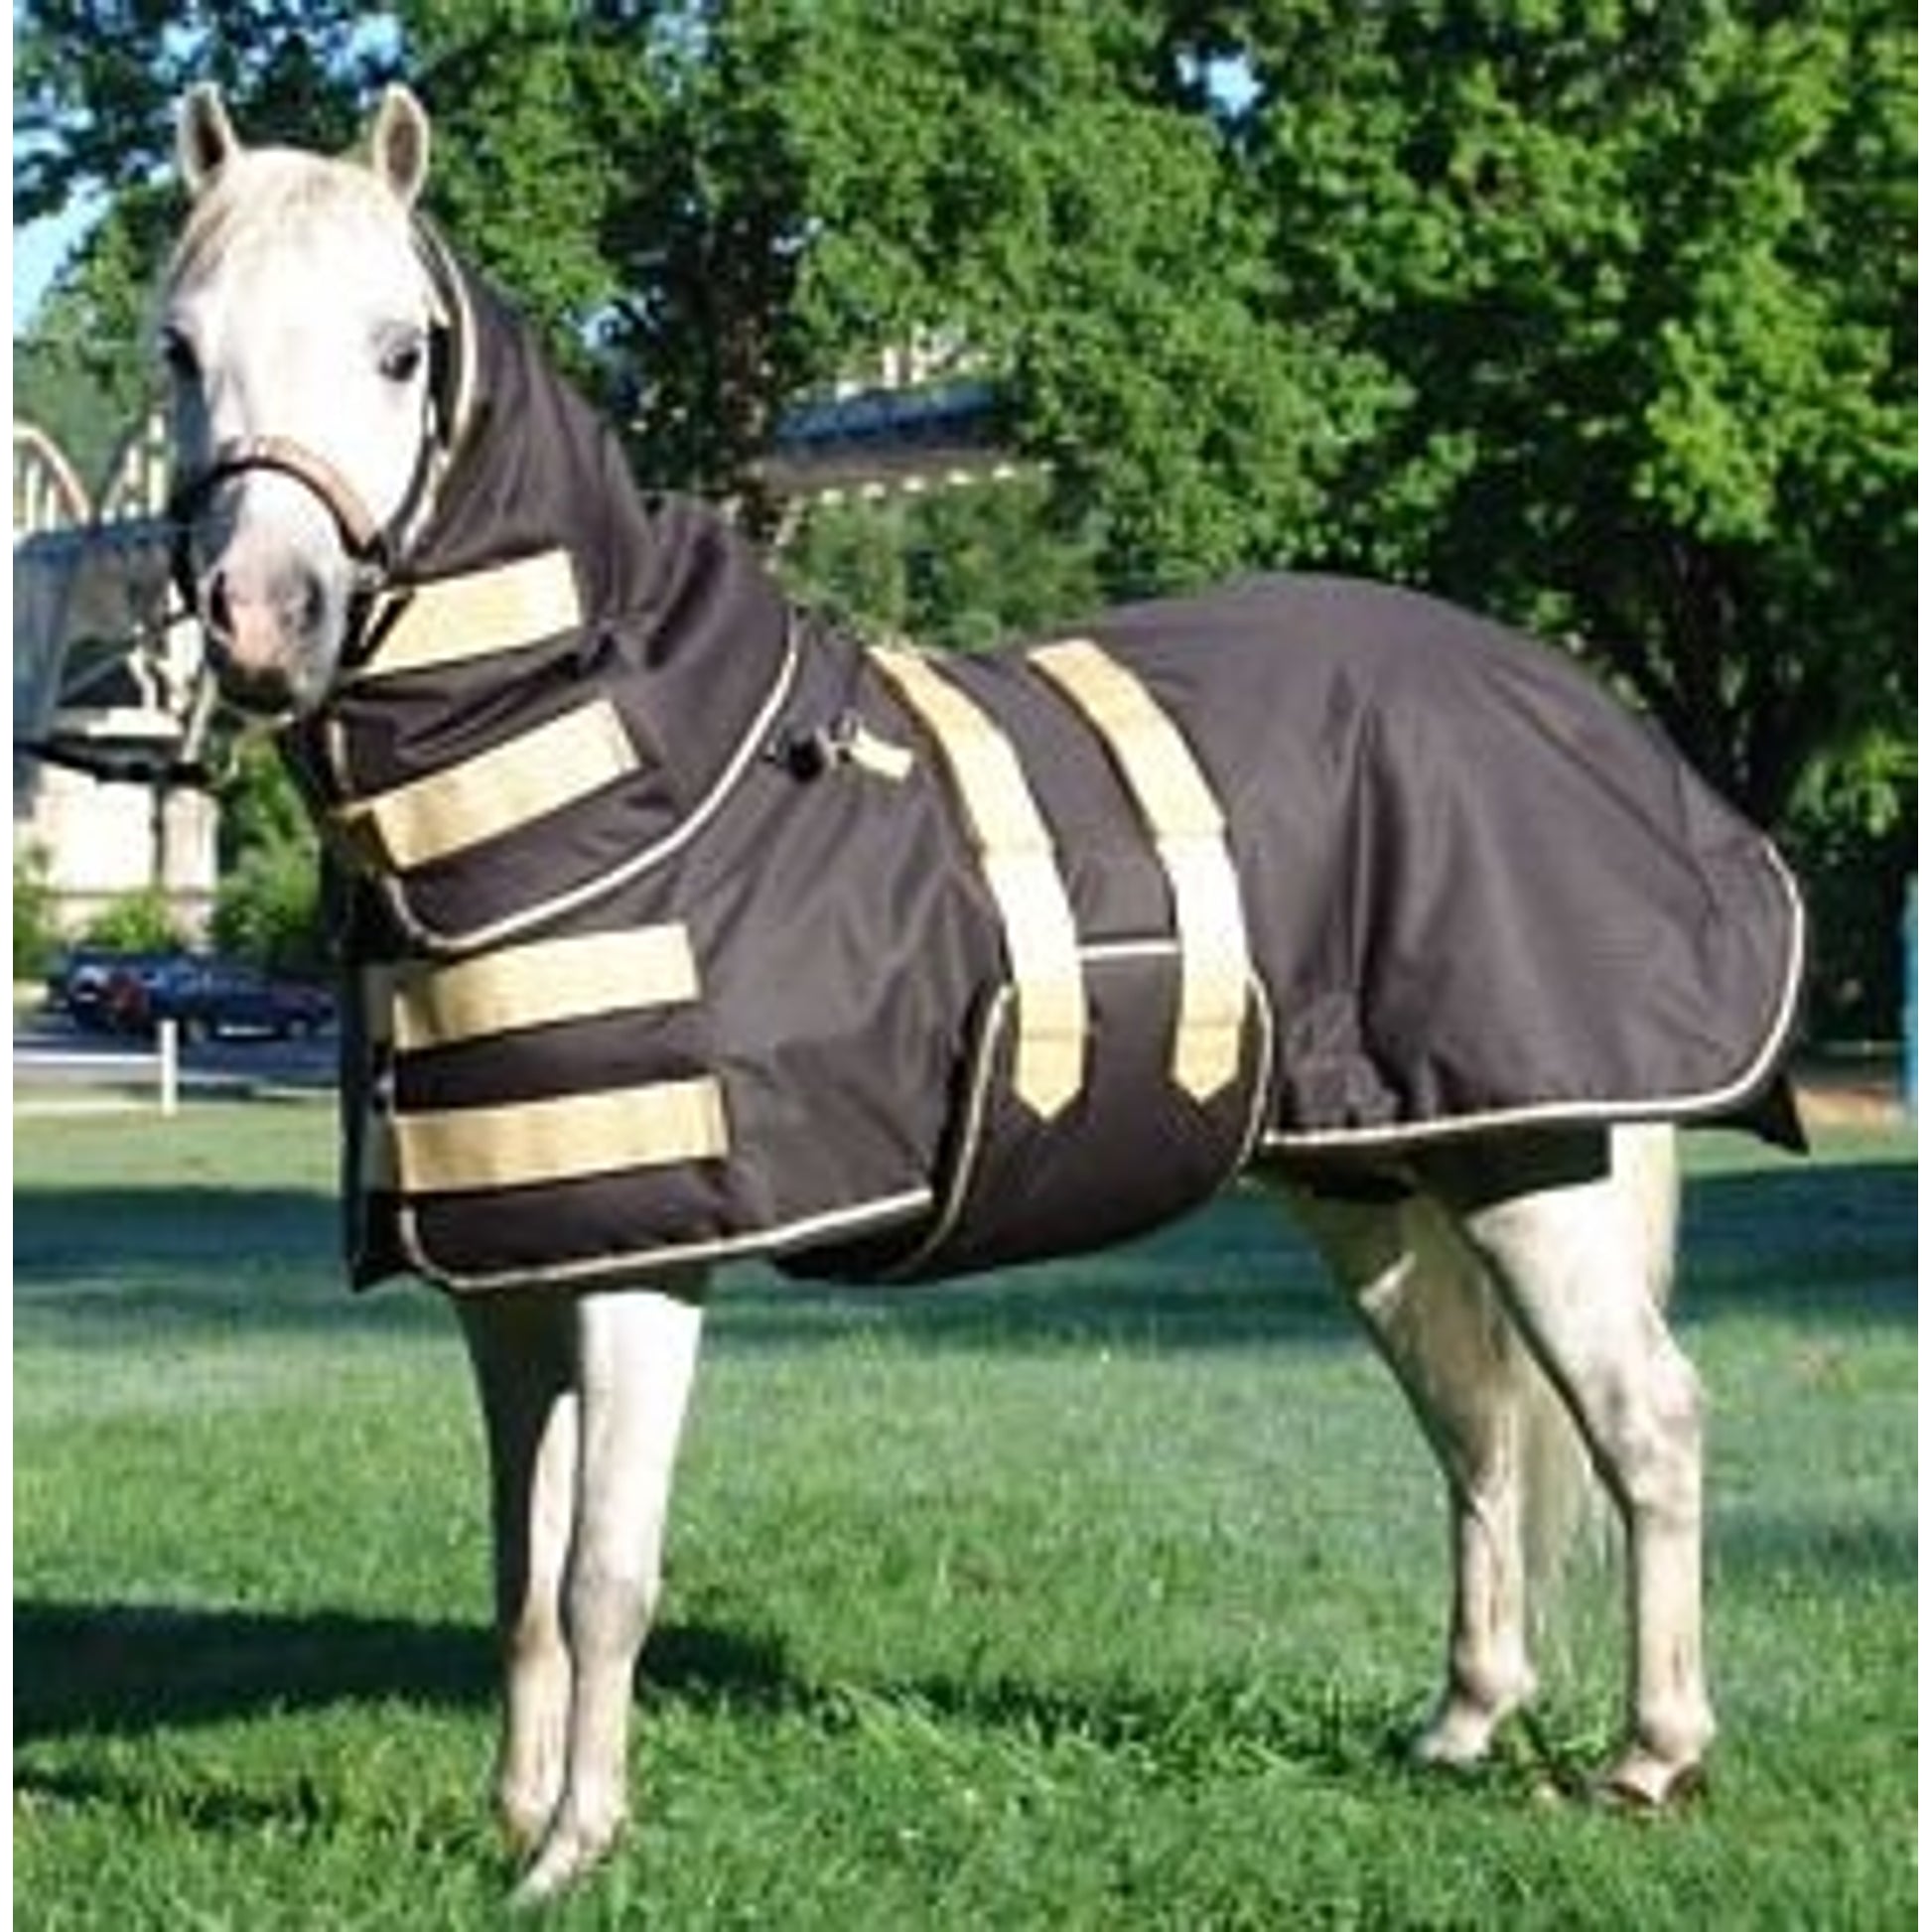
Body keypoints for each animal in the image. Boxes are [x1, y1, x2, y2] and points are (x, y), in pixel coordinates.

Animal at [160, 85, 1803, 1904]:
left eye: (400, 350)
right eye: (179, 347)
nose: (259, 620)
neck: (619, 778)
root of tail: (1575, 707)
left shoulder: (649, 1271)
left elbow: (603, 1574)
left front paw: (580, 1841)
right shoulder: (517, 1277)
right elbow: (520, 1568)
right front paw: (520, 1820)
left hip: (1534, 1161)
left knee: (1645, 1421)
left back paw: (1652, 1754)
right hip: (1376, 1178)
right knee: (1476, 1425)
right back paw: (1461, 1721)